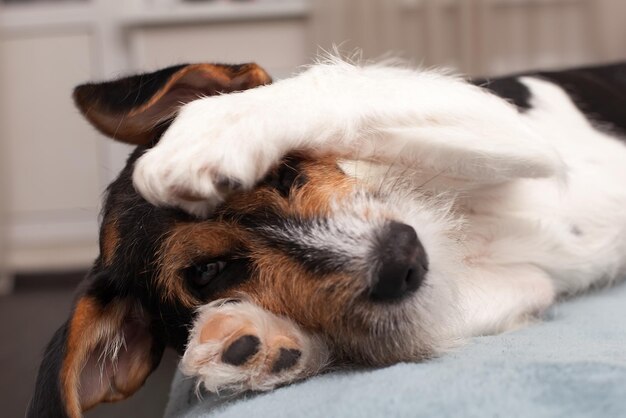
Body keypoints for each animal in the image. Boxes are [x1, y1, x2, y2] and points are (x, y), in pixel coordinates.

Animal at [28, 57, 624, 416]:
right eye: (208, 272)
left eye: (286, 169)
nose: (403, 257)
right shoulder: (521, 284)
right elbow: (366, 335)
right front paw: (263, 342)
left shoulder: (505, 126)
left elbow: (332, 84)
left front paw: (216, 126)